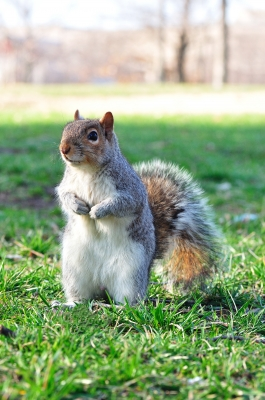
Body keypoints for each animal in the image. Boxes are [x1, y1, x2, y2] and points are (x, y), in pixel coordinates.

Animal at [54, 109, 220, 306]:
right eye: (65, 129)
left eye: (93, 136)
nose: (64, 148)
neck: (87, 171)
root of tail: (103, 287)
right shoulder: (67, 183)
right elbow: (63, 194)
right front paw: (76, 205)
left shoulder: (131, 190)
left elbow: (123, 203)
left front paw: (99, 210)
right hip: (74, 270)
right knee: (81, 295)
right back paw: (70, 304)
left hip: (131, 272)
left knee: (130, 299)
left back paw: (122, 307)